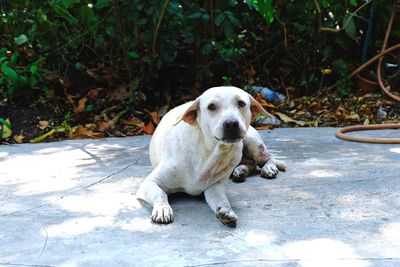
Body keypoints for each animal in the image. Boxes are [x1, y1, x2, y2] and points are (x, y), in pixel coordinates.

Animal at [136, 87, 286, 227]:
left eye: (241, 103)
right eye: (212, 107)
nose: (231, 123)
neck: (213, 152)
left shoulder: (215, 188)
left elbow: (223, 200)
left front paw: (226, 211)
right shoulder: (150, 183)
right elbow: (160, 194)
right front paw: (162, 209)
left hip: (251, 141)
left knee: (266, 158)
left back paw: (267, 168)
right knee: (251, 163)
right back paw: (241, 170)